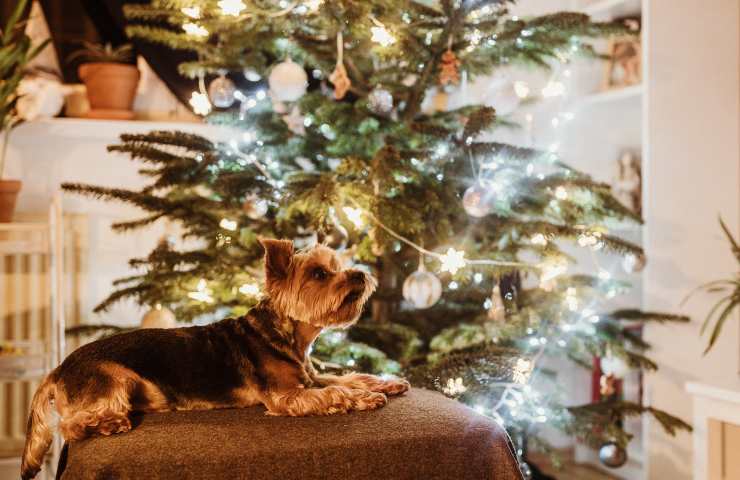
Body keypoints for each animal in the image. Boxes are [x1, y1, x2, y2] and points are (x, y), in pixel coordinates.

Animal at [20, 239, 410, 480]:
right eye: (319, 274)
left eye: (338, 266)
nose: (360, 274)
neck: (286, 333)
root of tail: (58, 369)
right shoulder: (287, 396)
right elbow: (334, 393)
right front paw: (365, 398)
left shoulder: (309, 377)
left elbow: (348, 377)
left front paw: (388, 383)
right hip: (114, 379)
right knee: (69, 427)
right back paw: (109, 425)